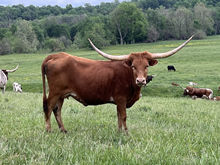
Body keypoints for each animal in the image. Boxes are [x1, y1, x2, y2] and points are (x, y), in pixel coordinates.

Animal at [40, 35, 192, 133]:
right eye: (133, 66)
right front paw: (125, 132)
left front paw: (119, 131)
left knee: (57, 110)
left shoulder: (120, 101)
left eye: (147, 65)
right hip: (54, 92)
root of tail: (55, 55)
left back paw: (63, 130)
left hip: (61, 94)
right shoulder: (121, 98)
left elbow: (119, 116)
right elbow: (123, 116)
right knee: (48, 107)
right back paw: (48, 130)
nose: (141, 80)